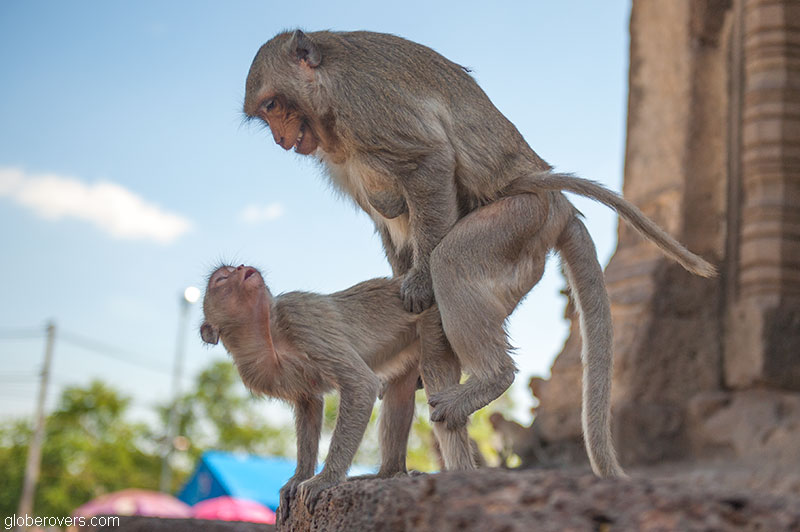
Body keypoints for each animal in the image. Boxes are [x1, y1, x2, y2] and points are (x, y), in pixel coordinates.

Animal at [243, 30, 717, 478]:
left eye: (274, 104)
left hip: (520, 221)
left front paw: (418, 282)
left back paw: (489, 376)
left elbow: (429, 162)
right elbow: (386, 220)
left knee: (451, 260)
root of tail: (560, 206)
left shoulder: (364, 103)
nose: (282, 138)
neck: (326, 93)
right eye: (266, 114)